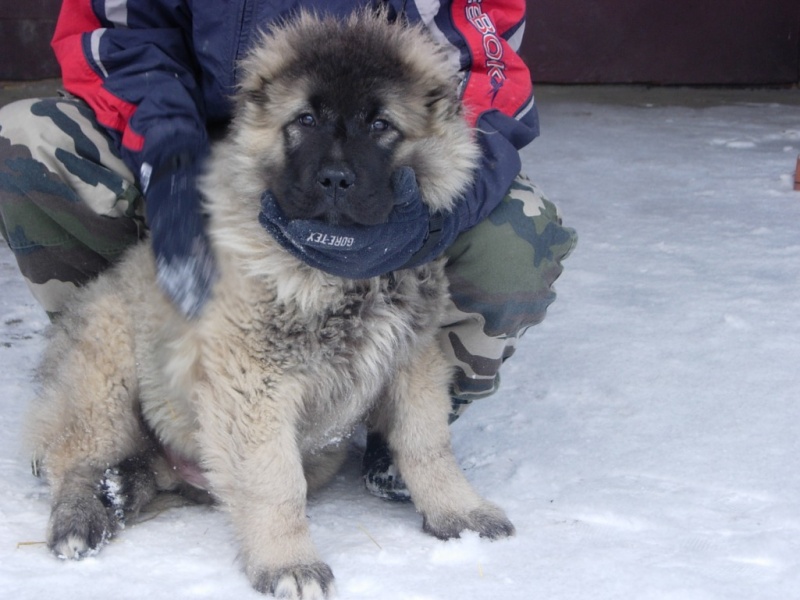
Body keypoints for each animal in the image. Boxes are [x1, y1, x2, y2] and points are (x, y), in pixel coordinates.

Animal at [26, 8, 512, 596]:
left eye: (381, 125)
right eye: (304, 120)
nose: (335, 179)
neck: (340, 273)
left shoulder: (411, 358)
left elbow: (428, 446)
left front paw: (459, 513)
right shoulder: (255, 384)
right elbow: (275, 482)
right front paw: (288, 564)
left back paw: (121, 489)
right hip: (106, 376)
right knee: (74, 456)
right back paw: (82, 518)